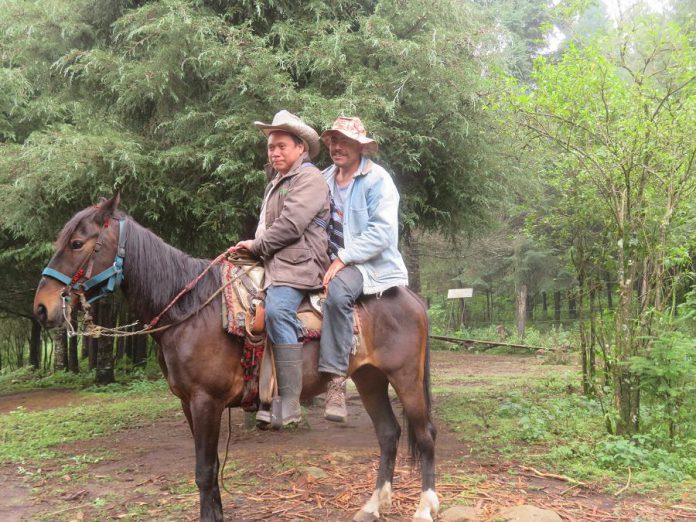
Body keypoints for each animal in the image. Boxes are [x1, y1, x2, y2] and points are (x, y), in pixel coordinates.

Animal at [34, 195, 436, 520]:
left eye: (77, 243)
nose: (42, 308)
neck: (191, 310)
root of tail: (412, 298)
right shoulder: (188, 403)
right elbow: (209, 471)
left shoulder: (205, 402)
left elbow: (204, 471)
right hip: (369, 378)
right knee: (389, 433)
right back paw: (373, 507)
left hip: (405, 379)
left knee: (424, 434)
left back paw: (424, 509)